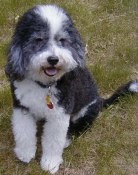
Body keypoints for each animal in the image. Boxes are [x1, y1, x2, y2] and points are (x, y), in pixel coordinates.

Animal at [4, 3, 137, 174]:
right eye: (38, 39)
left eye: (62, 40)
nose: (53, 59)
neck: (44, 85)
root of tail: (101, 100)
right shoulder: (22, 107)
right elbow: (23, 132)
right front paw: (25, 153)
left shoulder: (59, 115)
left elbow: (53, 141)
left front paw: (50, 163)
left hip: (86, 111)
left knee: (79, 127)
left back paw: (67, 140)